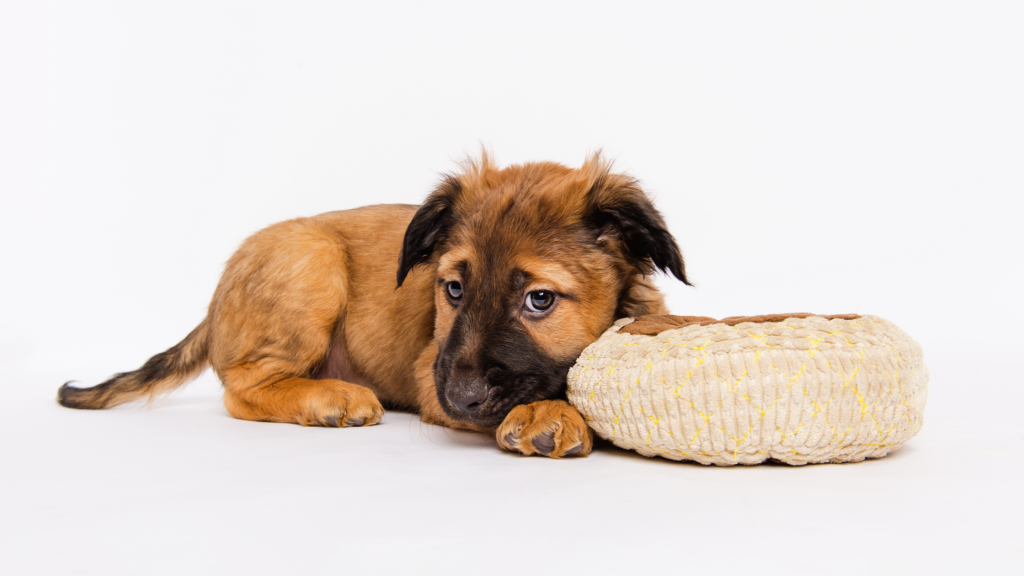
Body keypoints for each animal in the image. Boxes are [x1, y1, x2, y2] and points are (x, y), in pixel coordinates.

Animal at [59, 152, 692, 457]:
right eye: (453, 289)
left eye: (539, 299)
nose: (459, 397)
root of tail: (214, 307)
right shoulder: (429, 365)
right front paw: (549, 413)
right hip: (311, 257)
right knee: (242, 388)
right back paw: (328, 398)